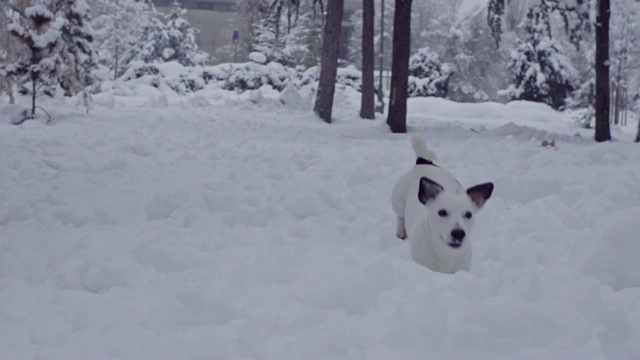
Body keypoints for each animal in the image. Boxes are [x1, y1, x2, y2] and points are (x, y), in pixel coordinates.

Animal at [390, 136, 496, 272]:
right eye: (442, 212)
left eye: (468, 214)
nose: (459, 233)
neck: (445, 254)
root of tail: (423, 162)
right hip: (398, 199)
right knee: (400, 215)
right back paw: (401, 231)